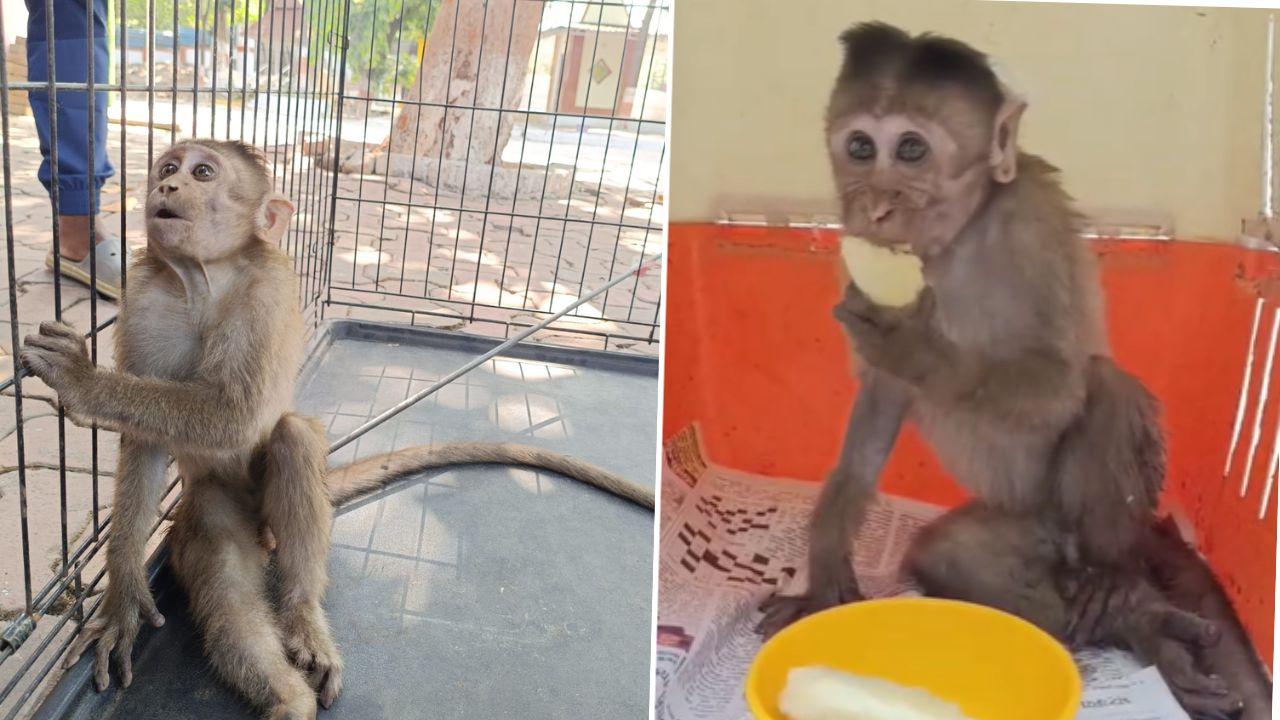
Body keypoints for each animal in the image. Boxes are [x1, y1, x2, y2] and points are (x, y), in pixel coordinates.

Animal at [18, 139, 653, 720]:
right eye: (168, 168)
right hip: (216, 506)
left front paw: (83, 382)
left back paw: (302, 618)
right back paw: (287, 699)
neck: (204, 281)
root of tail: (263, 529)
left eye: (202, 173)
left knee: (293, 439)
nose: (166, 187)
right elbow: (146, 446)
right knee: (228, 585)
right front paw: (124, 596)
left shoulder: (269, 288)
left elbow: (237, 415)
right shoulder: (146, 298)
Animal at [752, 23, 1269, 719]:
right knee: (949, 555)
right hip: (1016, 528)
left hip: (1080, 523)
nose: (875, 206)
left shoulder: (1032, 217)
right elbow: (883, 397)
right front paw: (826, 560)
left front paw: (920, 349)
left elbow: (1058, 383)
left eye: (910, 150)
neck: (957, 239)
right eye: (860, 147)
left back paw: (1124, 592)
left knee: (1102, 385)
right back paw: (1139, 624)